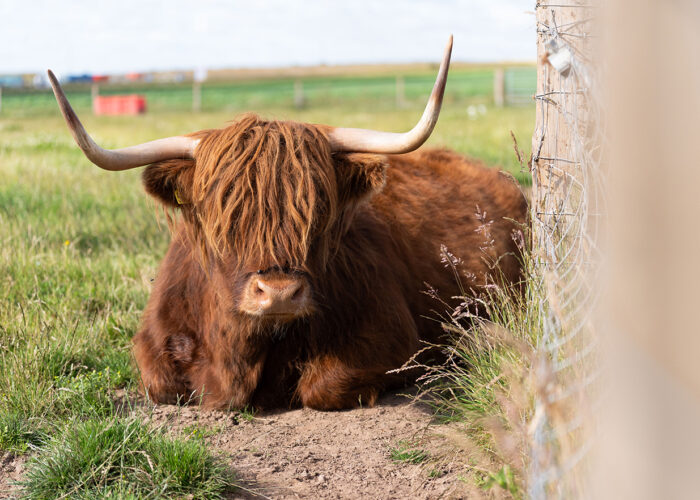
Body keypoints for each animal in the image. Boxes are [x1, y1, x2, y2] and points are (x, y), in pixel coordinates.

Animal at [48, 37, 527, 411]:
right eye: (223, 212)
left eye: (317, 208)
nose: (278, 293)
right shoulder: (154, 346)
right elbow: (162, 384)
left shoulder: (393, 336)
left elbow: (322, 385)